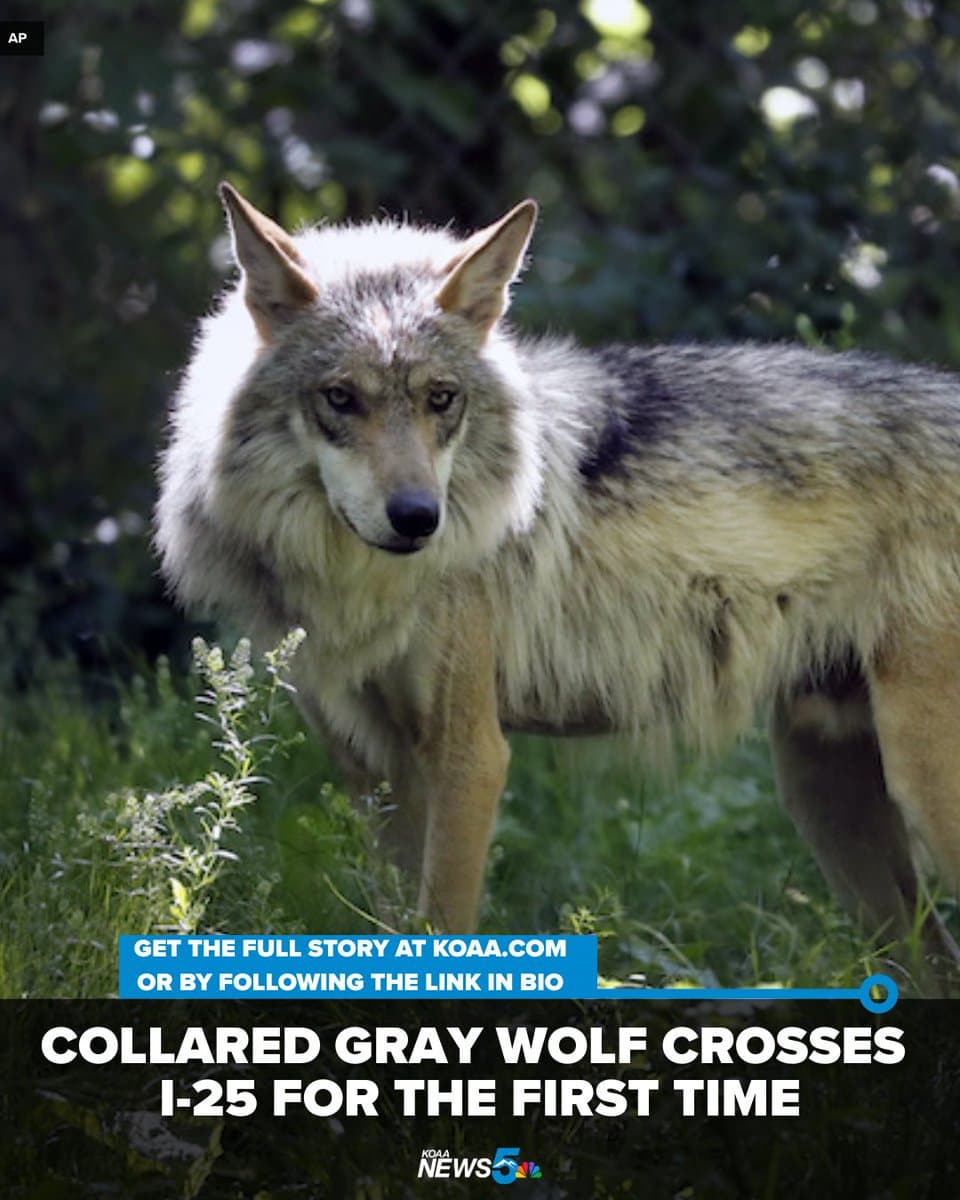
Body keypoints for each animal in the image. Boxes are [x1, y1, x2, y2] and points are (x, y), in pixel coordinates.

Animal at [157, 182, 960, 975]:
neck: (360, 585)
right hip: (828, 802)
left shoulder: (470, 758)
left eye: (441, 399)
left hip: (911, 791)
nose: (418, 519)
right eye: (340, 398)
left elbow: (440, 931)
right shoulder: (372, 771)